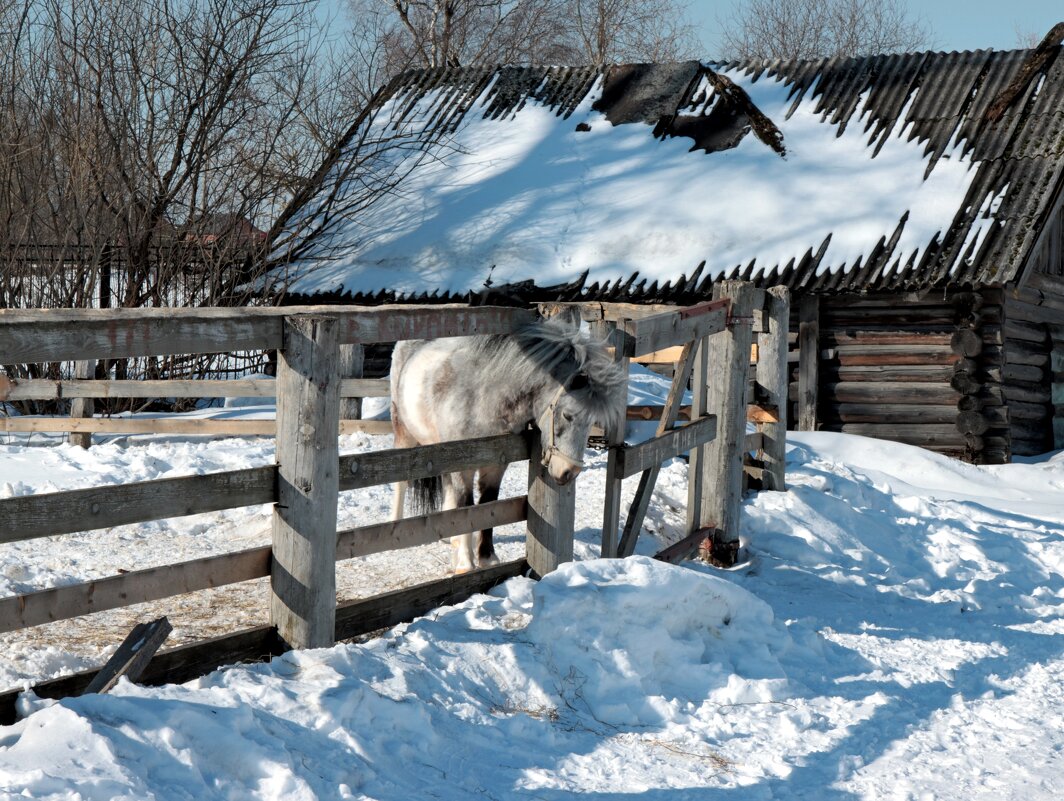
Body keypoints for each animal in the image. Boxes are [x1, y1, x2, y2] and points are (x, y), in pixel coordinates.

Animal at [389, 314, 621, 570]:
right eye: (568, 415)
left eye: (592, 423)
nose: (568, 472)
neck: (482, 398)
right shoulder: (462, 465)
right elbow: (467, 509)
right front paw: (466, 563)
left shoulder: (496, 464)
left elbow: (489, 506)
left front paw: (486, 557)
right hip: (404, 432)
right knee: (402, 482)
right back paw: (396, 526)